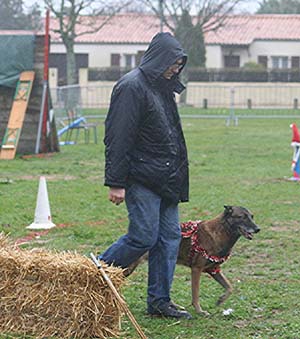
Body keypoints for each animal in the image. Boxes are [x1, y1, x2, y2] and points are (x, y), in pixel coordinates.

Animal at [125, 207, 260, 316]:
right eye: (242, 217)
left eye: (252, 216)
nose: (258, 229)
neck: (221, 231)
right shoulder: (196, 269)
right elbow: (195, 294)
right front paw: (199, 311)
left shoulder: (214, 270)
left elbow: (230, 287)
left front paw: (220, 299)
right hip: (130, 267)